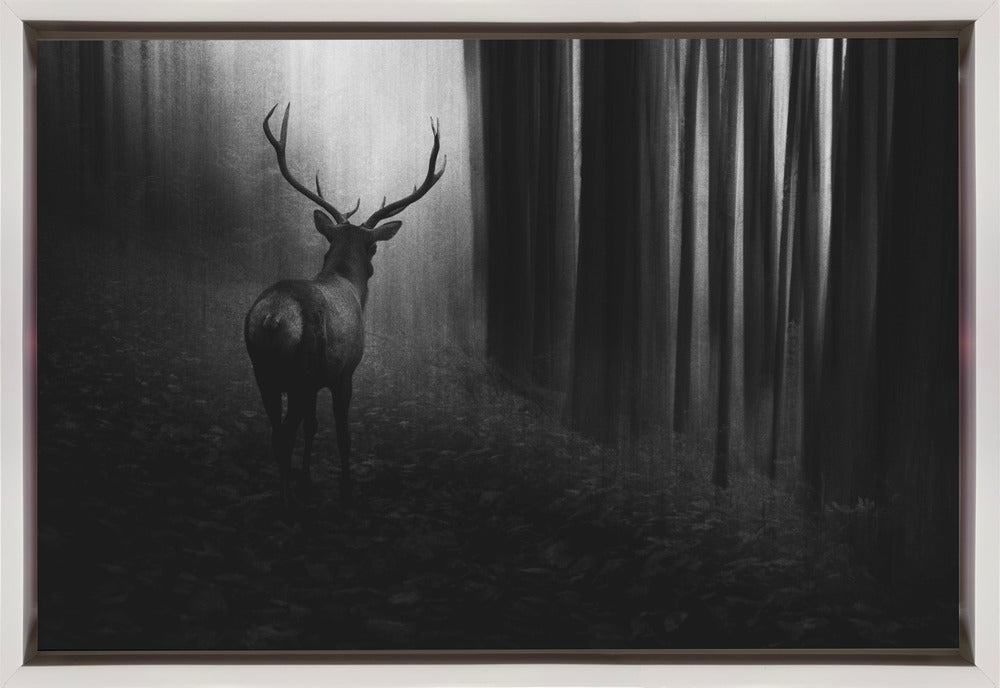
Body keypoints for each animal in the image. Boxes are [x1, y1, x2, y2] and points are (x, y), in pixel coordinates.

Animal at [244, 103, 445, 505]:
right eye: (374, 246)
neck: (347, 284)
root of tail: (273, 318)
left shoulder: (316, 381)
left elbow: (312, 427)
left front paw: (307, 478)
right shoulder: (344, 373)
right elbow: (342, 433)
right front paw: (347, 489)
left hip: (263, 370)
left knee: (277, 431)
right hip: (302, 371)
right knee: (284, 434)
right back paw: (287, 502)